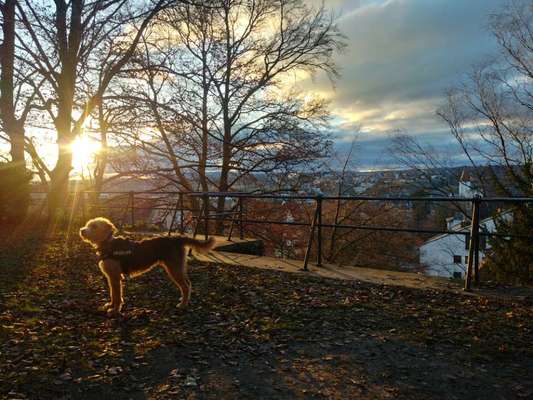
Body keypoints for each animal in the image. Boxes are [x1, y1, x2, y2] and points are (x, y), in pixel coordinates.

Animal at [78, 217, 214, 318]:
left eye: (95, 227)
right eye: (88, 225)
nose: (82, 231)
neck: (109, 244)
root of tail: (176, 238)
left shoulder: (115, 277)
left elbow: (116, 295)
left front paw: (115, 310)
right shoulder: (112, 278)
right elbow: (113, 294)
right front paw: (110, 306)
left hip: (173, 269)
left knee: (185, 286)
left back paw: (183, 304)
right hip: (177, 268)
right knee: (188, 284)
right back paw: (184, 300)